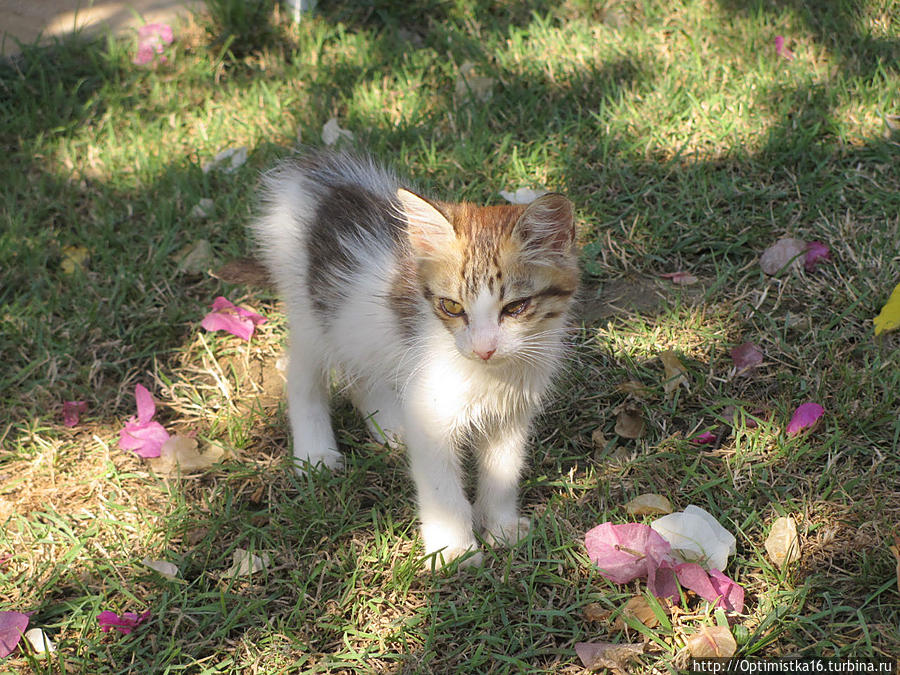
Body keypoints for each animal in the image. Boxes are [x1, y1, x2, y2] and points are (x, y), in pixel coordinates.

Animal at [250, 151, 580, 568]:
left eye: (516, 307)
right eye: (452, 307)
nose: (484, 348)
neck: (490, 375)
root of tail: (316, 174)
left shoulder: (511, 415)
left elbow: (503, 472)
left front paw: (502, 529)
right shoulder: (432, 413)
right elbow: (442, 490)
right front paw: (454, 551)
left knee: (362, 374)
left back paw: (390, 426)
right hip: (310, 314)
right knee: (303, 375)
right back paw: (315, 452)